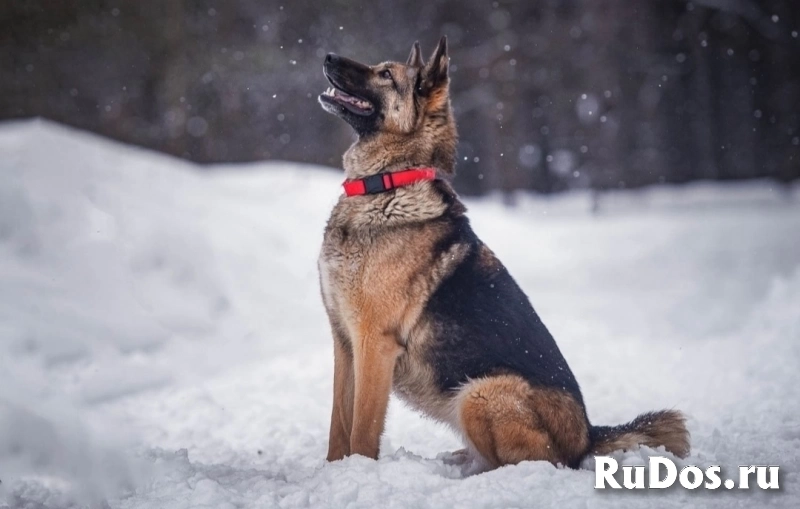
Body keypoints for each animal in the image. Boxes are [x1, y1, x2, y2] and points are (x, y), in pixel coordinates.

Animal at [316, 35, 692, 470]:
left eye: (386, 75)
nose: (327, 56)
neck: (389, 184)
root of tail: (586, 438)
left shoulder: (374, 343)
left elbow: (361, 431)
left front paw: (358, 471)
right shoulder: (344, 343)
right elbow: (338, 426)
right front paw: (333, 472)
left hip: (480, 393)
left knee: (528, 462)